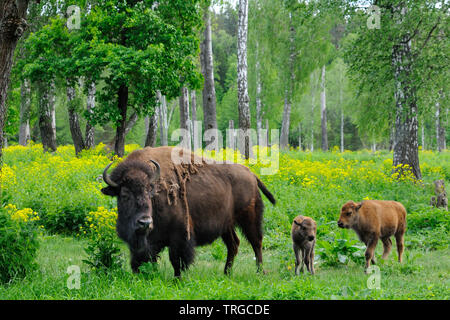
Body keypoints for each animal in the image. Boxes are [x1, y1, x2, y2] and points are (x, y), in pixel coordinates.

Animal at [101, 146, 276, 276]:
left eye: (150, 192)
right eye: (124, 195)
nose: (144, 222)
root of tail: (251, 174)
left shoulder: (179, 235)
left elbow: (176, 260)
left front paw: (178, 279)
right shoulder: (142, 242)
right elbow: (141, 258)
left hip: (249, 219)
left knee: (256, 242)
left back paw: (260, 272)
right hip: (227, 224)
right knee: (234, 244)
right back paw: (226, 273)